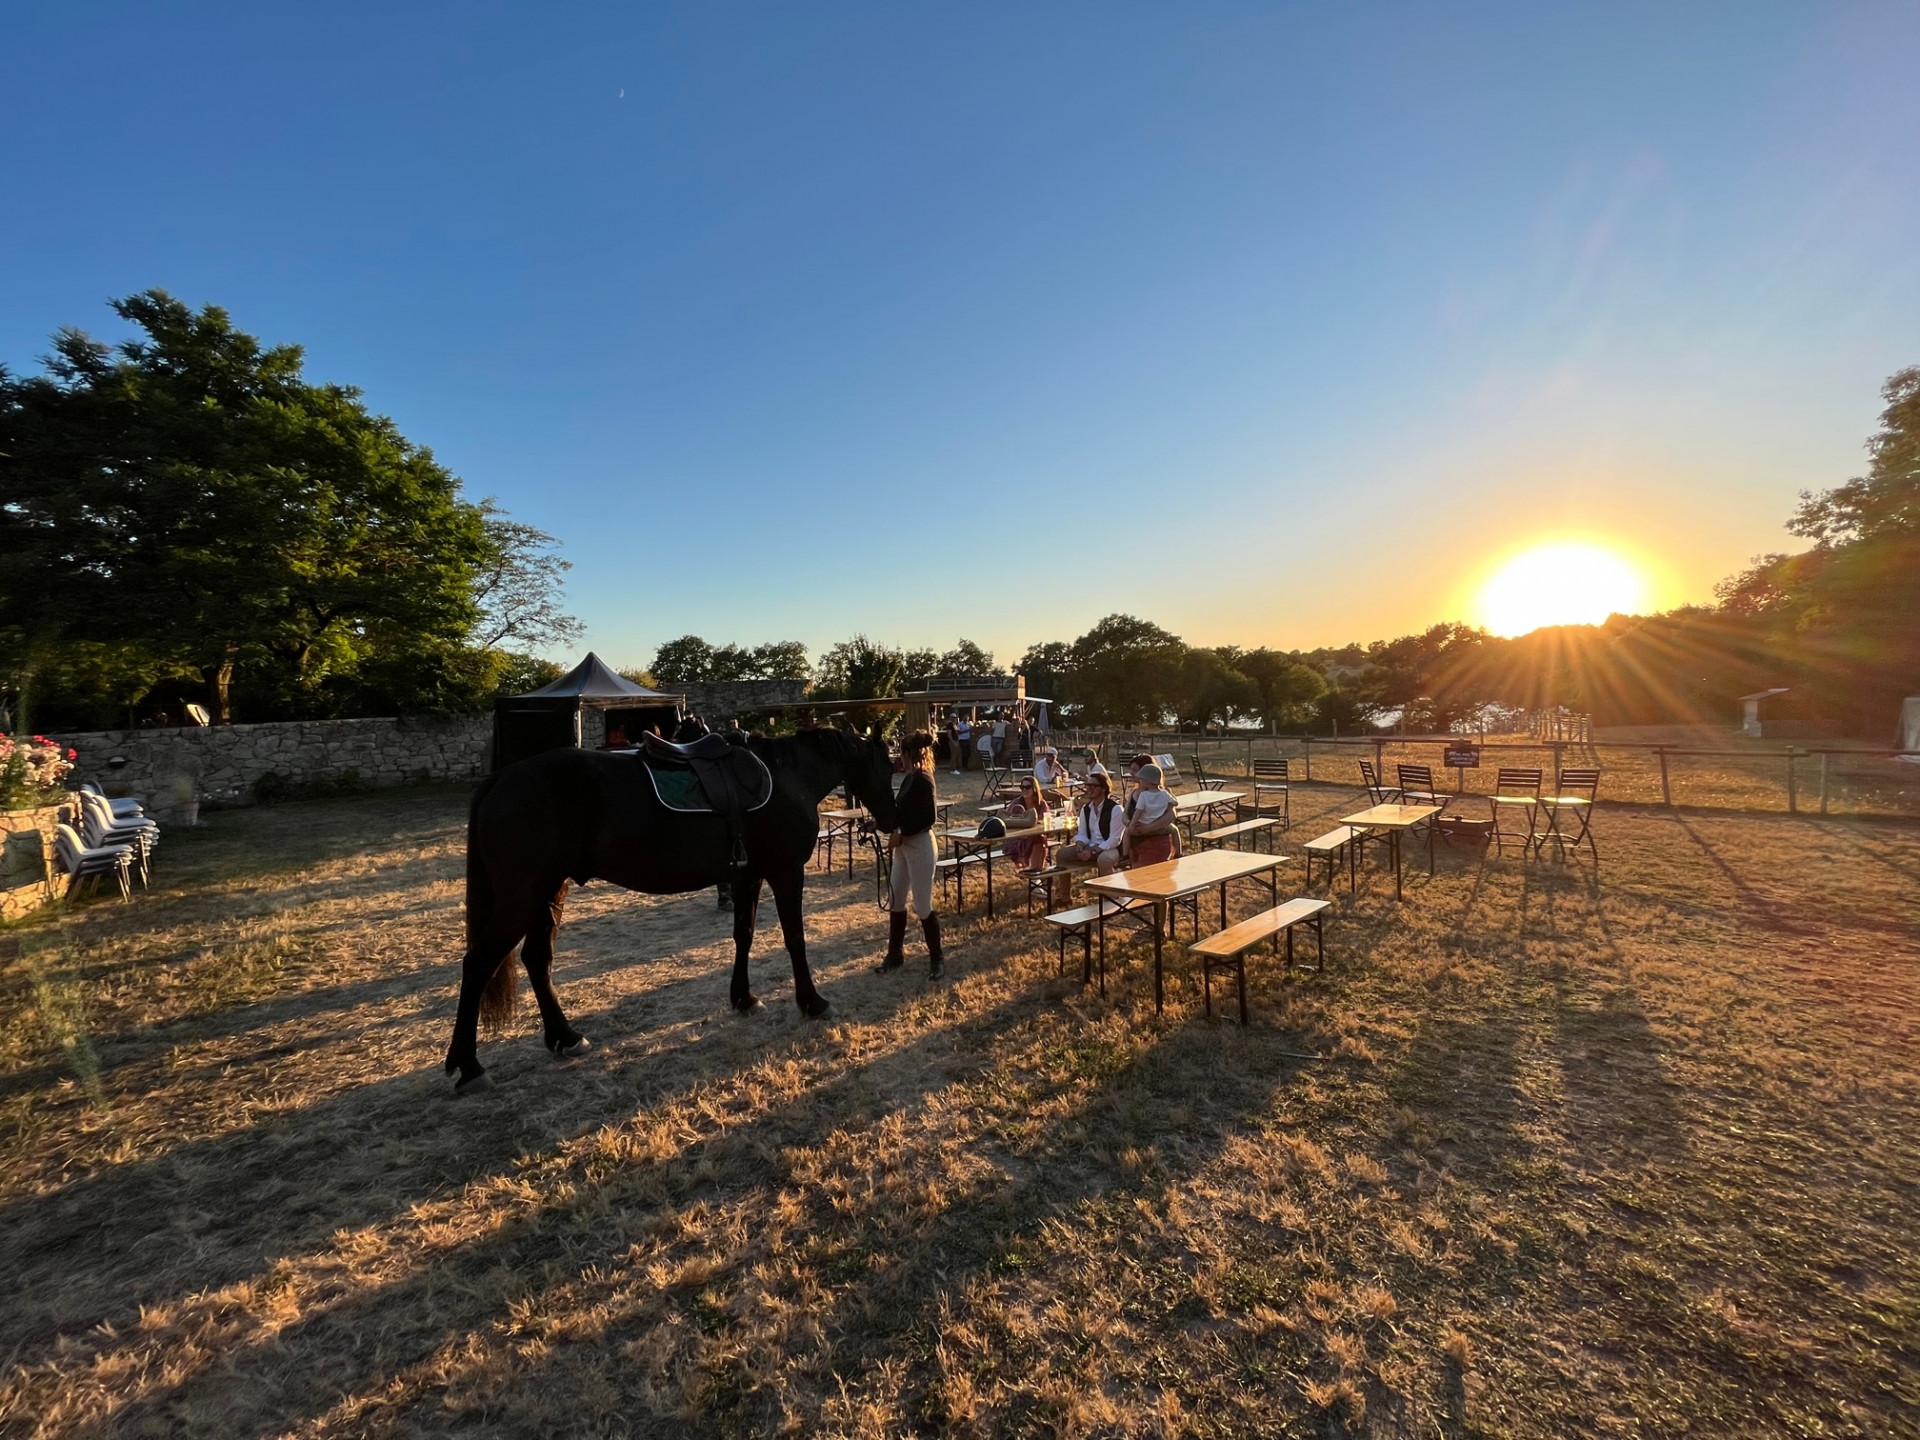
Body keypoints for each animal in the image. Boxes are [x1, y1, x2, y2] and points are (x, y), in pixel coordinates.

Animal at [443, 733, 898, 1090]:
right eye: (887, 767)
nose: (892, 819)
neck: (787, 777)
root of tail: (502, 777)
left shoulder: (747, 875)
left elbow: (744, 935)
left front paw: (744, 998)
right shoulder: (785, 872)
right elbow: (794, 938)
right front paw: (812, 1002)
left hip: (548, 892)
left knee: (537, 959)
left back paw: (565, 1037)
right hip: (523, 896)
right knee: (478, 964)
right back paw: (469, 1066)